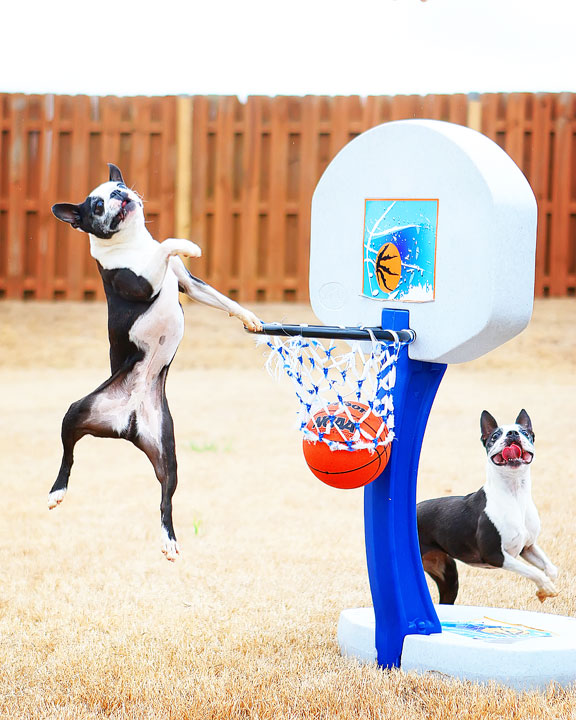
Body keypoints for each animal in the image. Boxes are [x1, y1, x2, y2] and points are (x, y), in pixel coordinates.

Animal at [50, 165, 262, 564]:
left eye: (118, 187)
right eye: (97, 205)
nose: (122, 195)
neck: (133, 243)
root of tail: (125, 423)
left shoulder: (188, 284)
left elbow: (222, 298)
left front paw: (250, 318)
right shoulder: (139, 283)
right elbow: (167, 245)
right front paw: (188, 244)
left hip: (167, 450)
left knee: (166, 498)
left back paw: (169, 540)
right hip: (76, 412)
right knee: (68, 455)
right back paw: (57, 491)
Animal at [418, 410, 560, 600]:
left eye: (525, 432)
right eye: (495, 436)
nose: (512, 433)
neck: (515, 494)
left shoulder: (527, 547)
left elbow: (551, 569)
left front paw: (545, 590)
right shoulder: (495, 555)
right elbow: (533, 571)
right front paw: (546, 587)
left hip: (447, 573)